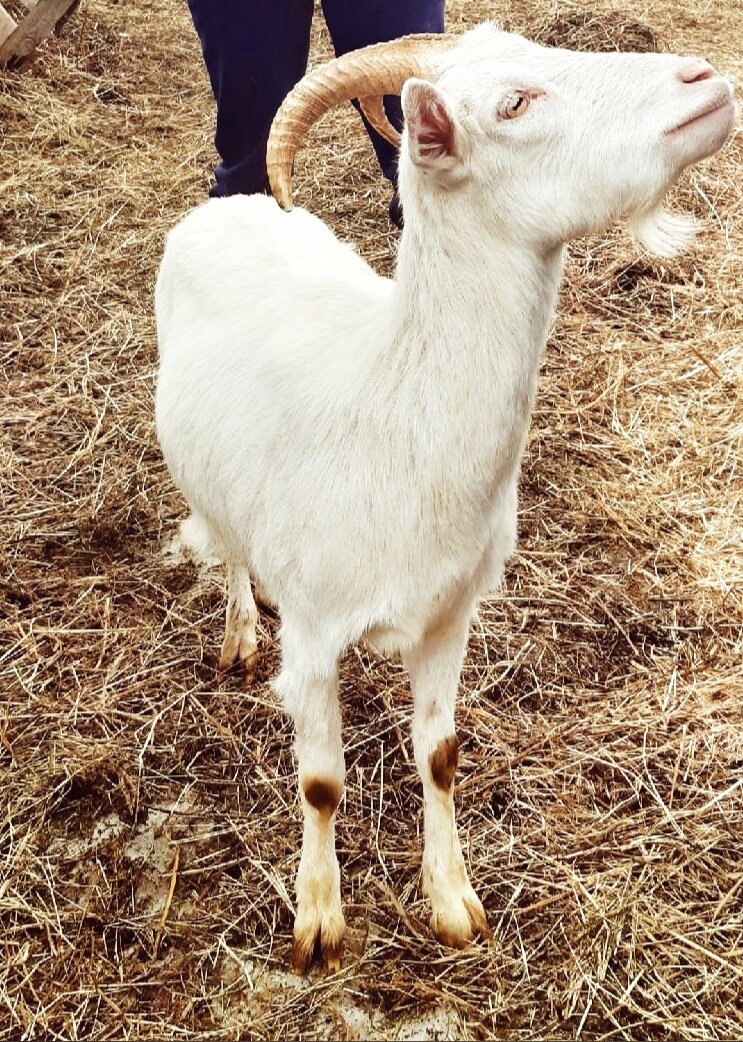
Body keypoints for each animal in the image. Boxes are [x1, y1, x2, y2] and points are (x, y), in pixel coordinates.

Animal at [153, 24, 733, 966]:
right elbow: (320, 783)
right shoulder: (315, 637)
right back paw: (240, 631)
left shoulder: (449, 616)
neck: (389, 415)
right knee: (230, 544)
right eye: (513, 103)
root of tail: (234, 203)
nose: (704, 78)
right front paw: (318, 924)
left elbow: (441, 757)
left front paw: (453, 902)